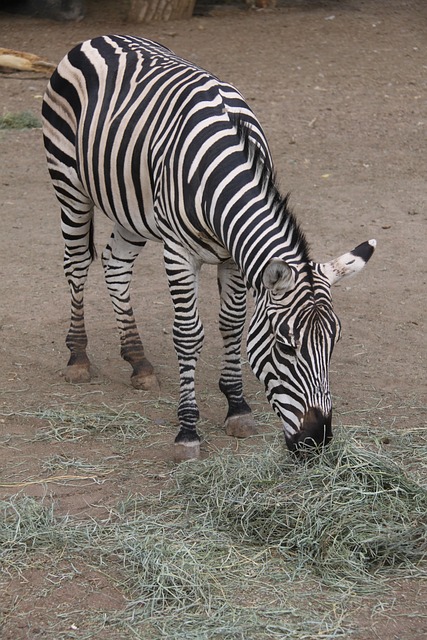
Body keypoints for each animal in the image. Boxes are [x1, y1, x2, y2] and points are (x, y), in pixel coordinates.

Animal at [41, 36, 374, 460]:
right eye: (286, 348)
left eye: (333, 344)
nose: (317, 441)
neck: (224, 175)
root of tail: (100, 38)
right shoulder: (178, 252)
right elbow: (188, 335)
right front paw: (188, 431)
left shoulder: (233, 257)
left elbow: (231, 325)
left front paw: (237, 407)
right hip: (69, 182)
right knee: (77, 263)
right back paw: (78, 357)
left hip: (130, 208)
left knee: (115, 265)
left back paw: (138, 361)